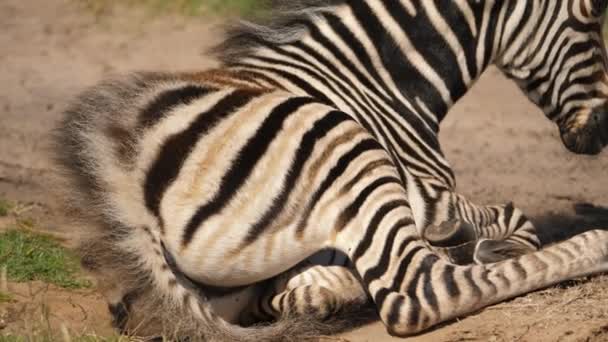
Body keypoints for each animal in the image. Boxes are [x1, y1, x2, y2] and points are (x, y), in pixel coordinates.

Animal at [55, 0, 608, 340]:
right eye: (591, 15)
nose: (602, 133)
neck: (378, 80)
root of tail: (127, 189)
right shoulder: (432, 196)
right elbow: (518, 219)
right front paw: (487, 246)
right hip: (350, 149)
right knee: (422, 291)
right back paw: (593, 247)